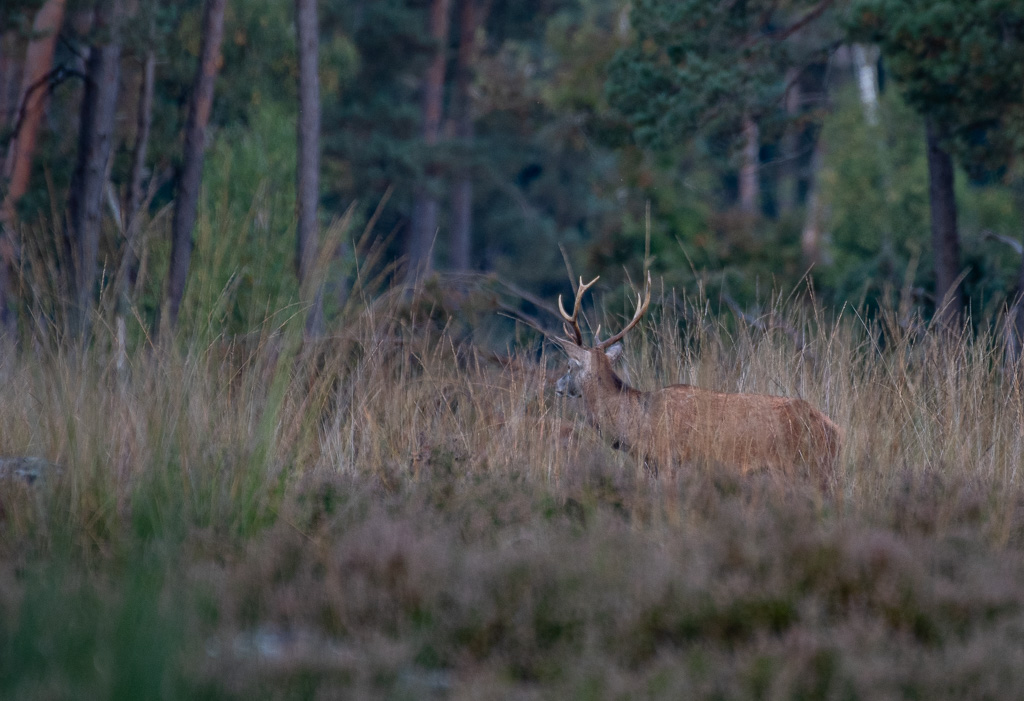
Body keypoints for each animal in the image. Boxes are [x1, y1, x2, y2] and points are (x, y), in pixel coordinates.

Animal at [552, 274, 840, 487]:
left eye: (570, 365)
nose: (557, 386)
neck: (637, 425)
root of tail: (835, 430)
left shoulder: (669, 460)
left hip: (801, 468)